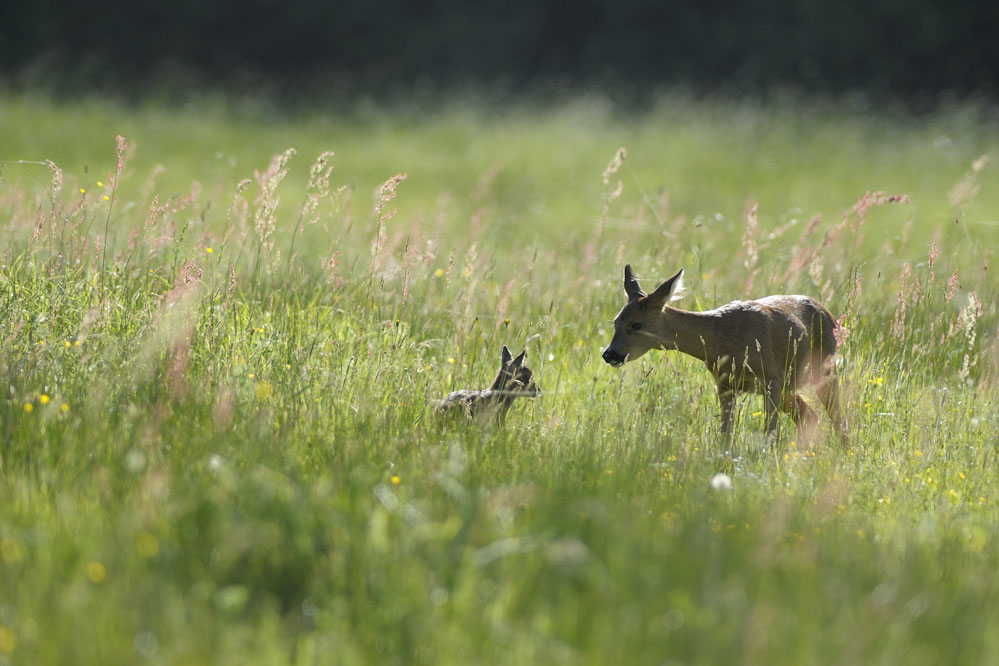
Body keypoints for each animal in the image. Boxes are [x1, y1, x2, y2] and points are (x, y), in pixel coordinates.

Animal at [604, 264, 848, 440]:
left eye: (637, 324)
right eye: (616, 321)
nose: (609, 354)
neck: (723, 339)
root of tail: (831, 316)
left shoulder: (771, 378)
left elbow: (769, 434)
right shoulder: (725, 384)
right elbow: (725, 436)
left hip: (824, 370)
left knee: (838, 420)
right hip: (789, 383)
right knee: (811, 417)